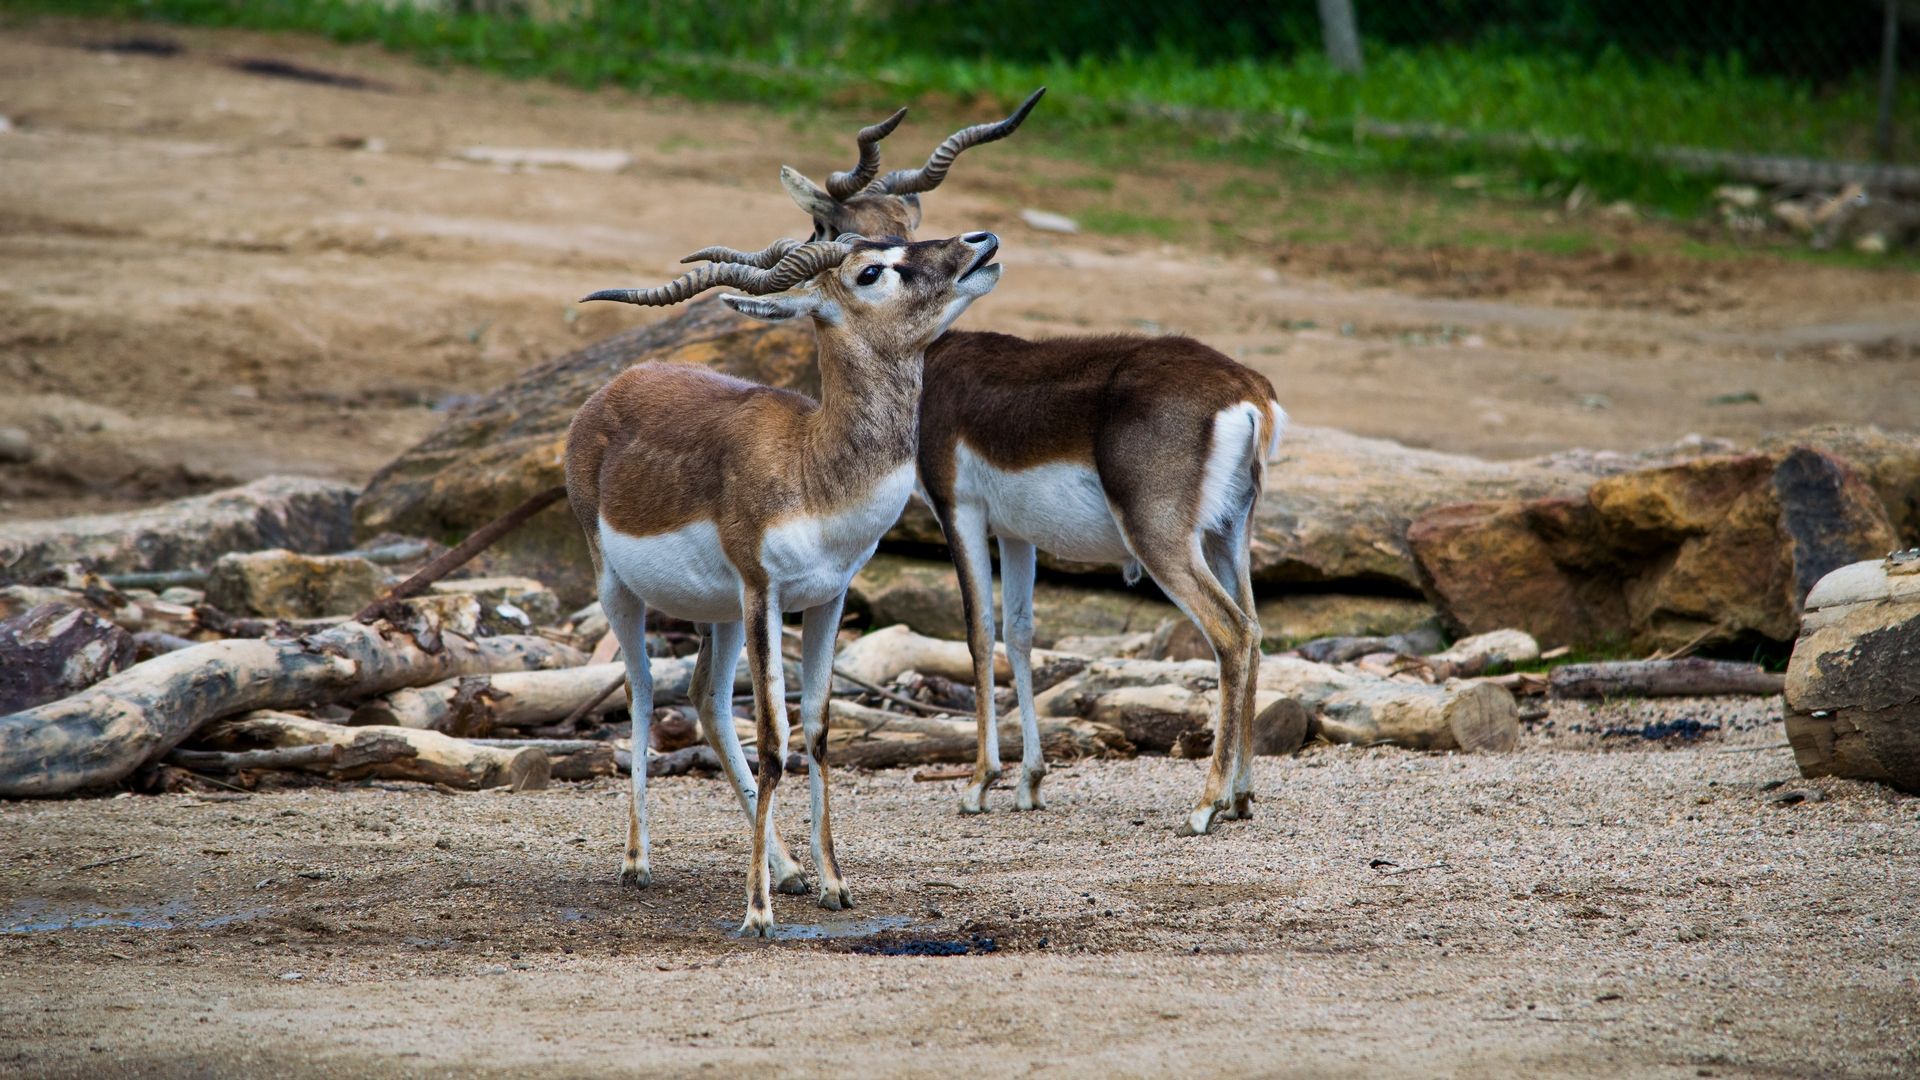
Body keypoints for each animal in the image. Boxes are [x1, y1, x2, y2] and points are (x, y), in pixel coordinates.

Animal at [568, 226, 1006, 933]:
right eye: (870, 271)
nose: (980, 240)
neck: (813, 464)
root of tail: (612, 389)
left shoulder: (829, 597)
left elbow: (818, 734)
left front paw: (832, 882)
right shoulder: (763, 592)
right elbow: (775, 741)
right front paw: (756, 912)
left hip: (718, 612)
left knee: (707, 699)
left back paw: (790, 870)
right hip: (621, 588)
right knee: (641, 693)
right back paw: (638, 862)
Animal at [714, 94, 1282, 834]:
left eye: (828, 232)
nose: (979, 246)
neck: (931, 361)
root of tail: (1246, 392)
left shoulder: (958, 508)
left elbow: (977, 630)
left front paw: (980, 781)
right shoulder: (1017, 533)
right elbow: (1020, 632)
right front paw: (1031, 780)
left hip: (1161, 539)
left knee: (1232, 634)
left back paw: (1205, 803)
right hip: (1228, 534)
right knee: (1257, 629)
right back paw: (1240, 795)